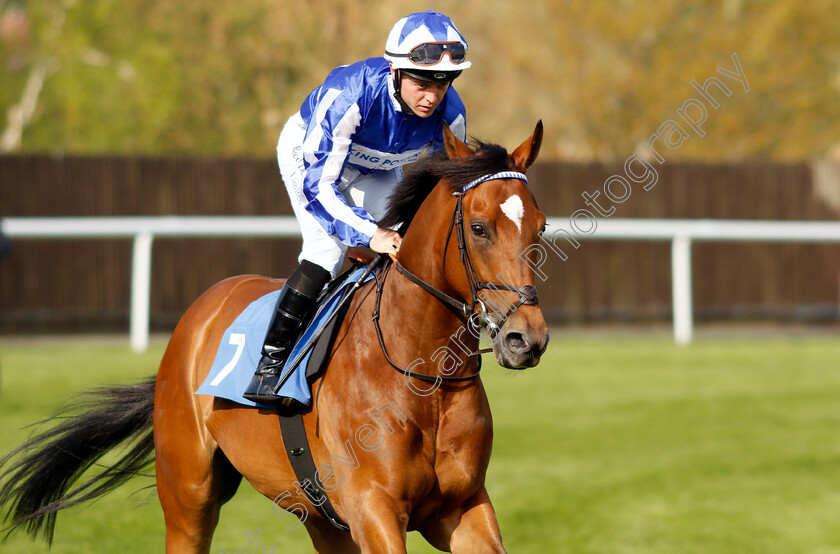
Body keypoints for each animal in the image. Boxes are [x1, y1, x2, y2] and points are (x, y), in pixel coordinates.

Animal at [0, 122, 552, 552]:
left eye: (541, 228)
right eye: (478, 228)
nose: (526, 339)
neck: (421, 375)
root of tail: (200, 313)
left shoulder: (462, 507)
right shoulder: (374, 510)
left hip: (319, 515)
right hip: (188, 494)